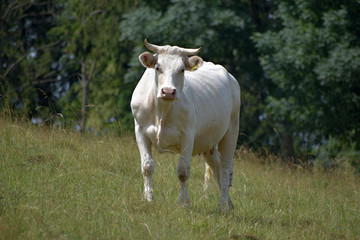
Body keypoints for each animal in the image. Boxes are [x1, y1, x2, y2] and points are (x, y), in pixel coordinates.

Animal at [131, 39, 240, 212]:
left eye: (182, 69)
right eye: (157, 67)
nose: (168, 91)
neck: (162, 111)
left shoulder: (188, 136)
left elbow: (183, 171)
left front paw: (184, 203)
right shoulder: (140, 130)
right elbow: (147, 166)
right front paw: (148, 198)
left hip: (231, 131)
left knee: (225, 171)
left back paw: (222, 205)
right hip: (208, 143)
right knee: (216, 169)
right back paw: (229, 205)